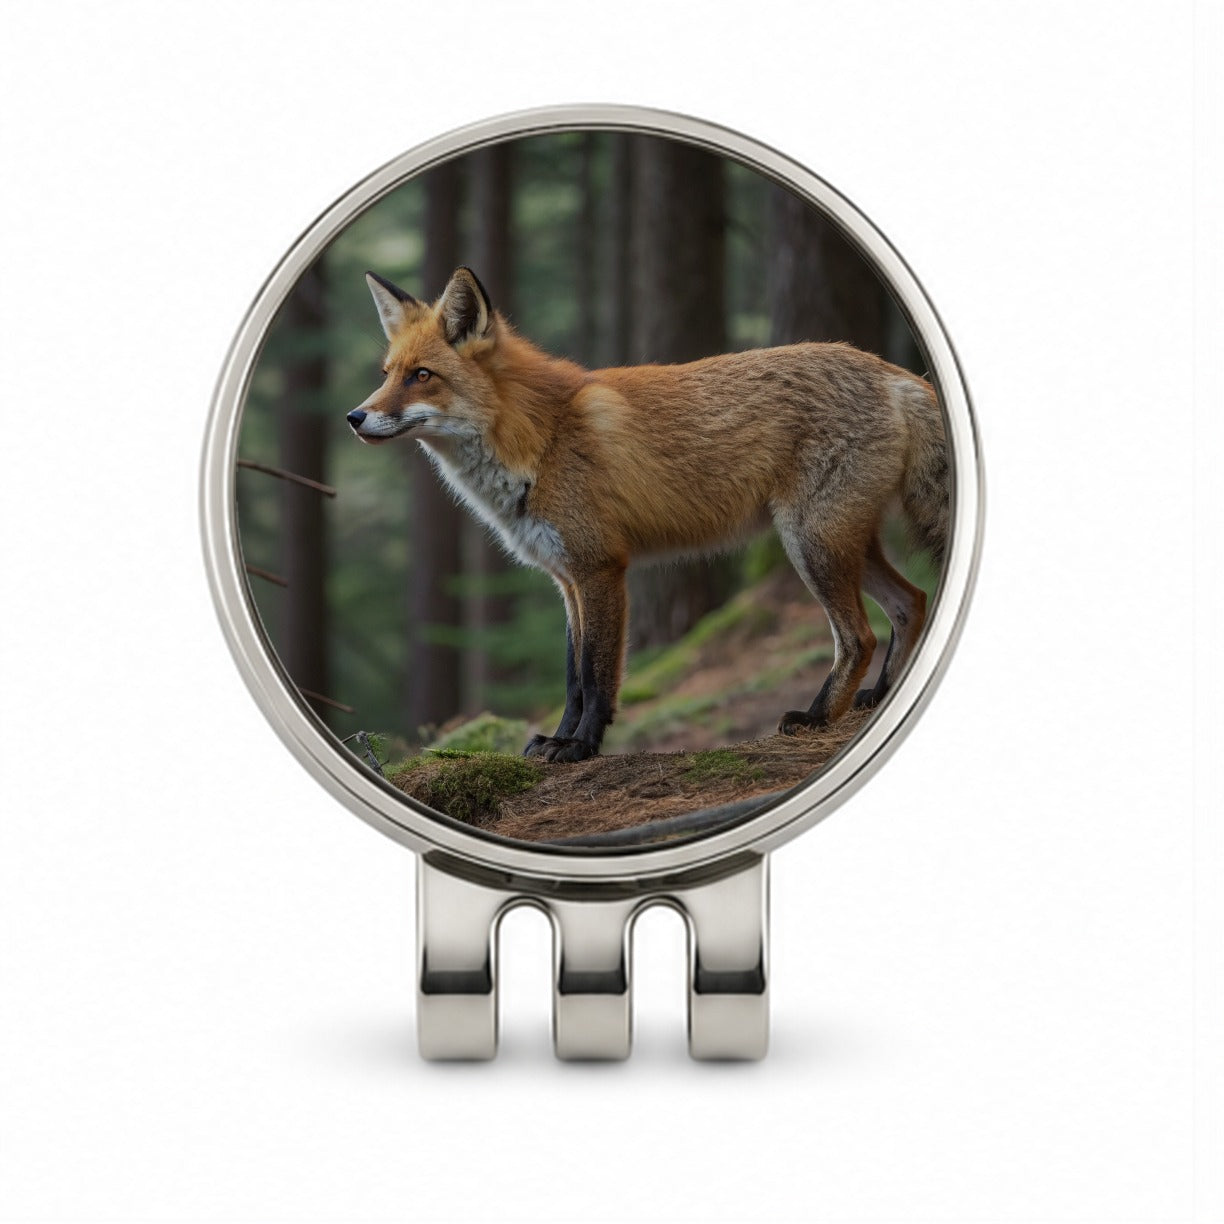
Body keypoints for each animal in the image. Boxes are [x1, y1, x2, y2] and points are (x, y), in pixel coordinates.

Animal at [347, 266, 948, 763]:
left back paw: (819, 717)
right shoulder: (567, 579)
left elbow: (596, 677)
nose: (354, 416)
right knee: (911, 602)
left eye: (422, 376)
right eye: (387, 373)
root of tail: (892, 372)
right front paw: (558, 741)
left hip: (811, 544)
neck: (538, 439)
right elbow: (572, 679)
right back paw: (878, 698)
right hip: (841, 544)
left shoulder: (602, 568)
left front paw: (581, 748)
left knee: (859, 636)